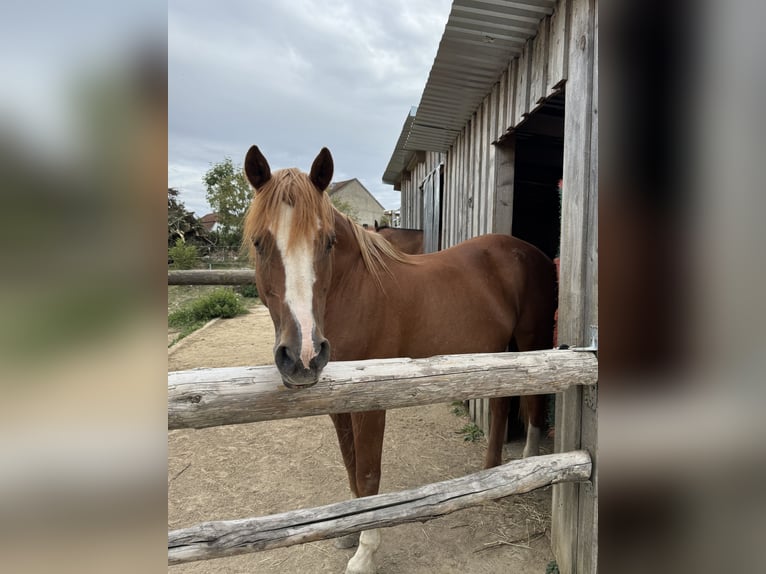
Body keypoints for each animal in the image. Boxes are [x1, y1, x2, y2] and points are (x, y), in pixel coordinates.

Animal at [242, 146, 557, 574]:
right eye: (259, 242)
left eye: (327, 242)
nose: (302, 354)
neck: (353, 289)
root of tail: (533, 253)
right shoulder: (337, 403)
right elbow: (351, 467)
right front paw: (347, 533)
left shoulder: (372, 404)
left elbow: (368, 474)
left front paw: (365, 553)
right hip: (496, 353)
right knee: (500, 406)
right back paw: (492, 475)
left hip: (531, 342)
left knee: (535, 400)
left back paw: (527, 466)